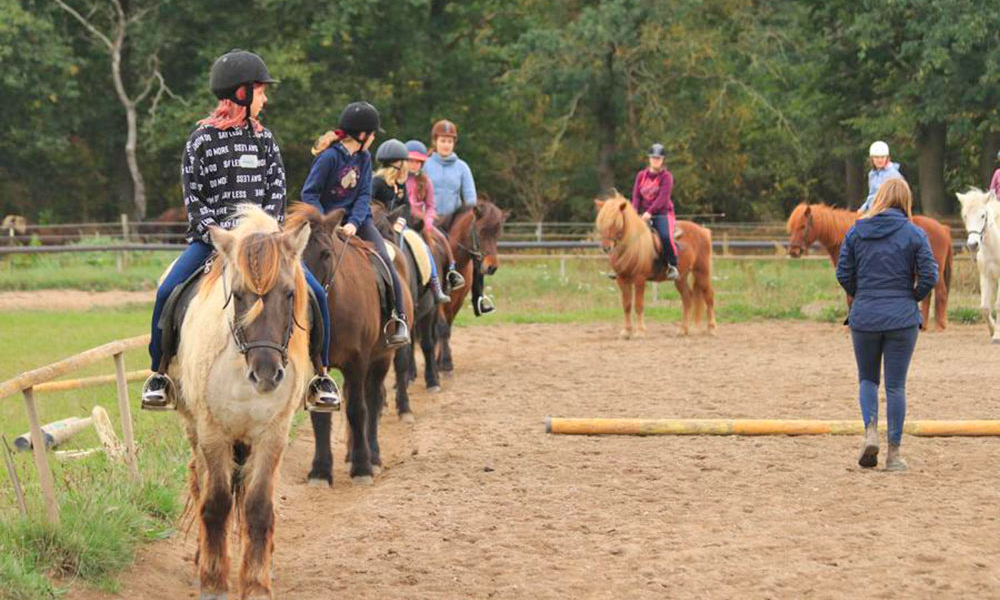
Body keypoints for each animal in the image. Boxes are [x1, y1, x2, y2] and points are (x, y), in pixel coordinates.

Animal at [170, 206, 312, 600]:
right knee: (202, 484)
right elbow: (216, 503)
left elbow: (259, 507)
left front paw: (257, 583)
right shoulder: (212, 431)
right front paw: (214, 582)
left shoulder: (273, 435)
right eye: (237, 294)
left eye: (289, 294)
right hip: (194, 428)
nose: (266, 374)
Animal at [286, 204, 414, 486]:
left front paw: (362, 466)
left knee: (373, 400)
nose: (305, 306)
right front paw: (321, 471)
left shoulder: (358, 361)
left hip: (381, 358)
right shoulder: (317, 365)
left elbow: (358, 409)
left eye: (325, 254)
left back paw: (372, 454)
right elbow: (320, 415)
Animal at [588, 191, 716, 338]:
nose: (606, 247)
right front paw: (626, 331)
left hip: (702, 271)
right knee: (687, 299)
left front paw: (640, 332)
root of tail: (703, 231)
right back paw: (683, 330)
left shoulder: (639, 279)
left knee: (709, 297)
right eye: (601, 222)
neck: (632, 246)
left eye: (615, 222)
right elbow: (626, 305)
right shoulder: (622, 279)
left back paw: (712, 329)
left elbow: (638, 305)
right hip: (681, 278)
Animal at [788, 204, 952, 330]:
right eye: (792, 227)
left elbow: (851, 298)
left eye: (802, 226)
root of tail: (943, 228)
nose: (793, 251)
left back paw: (940, 326)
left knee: (941, 293)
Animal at [952, 190, 1000, 344]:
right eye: (965, 216)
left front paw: (997, 335)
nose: (973, 245)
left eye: (983, 215)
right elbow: (984, 307)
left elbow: (998, 305)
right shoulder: (986, 276)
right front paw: (992, 331)